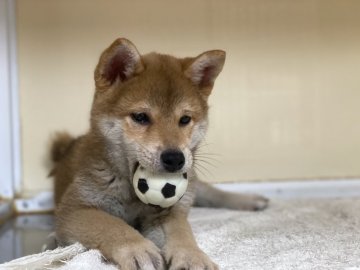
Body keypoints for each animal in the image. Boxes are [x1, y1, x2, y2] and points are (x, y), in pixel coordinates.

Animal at [52, 38, 268, 270]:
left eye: (184, 119)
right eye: (140, 117)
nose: (175, 159)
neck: (133, 197)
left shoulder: (169, 211)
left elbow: (181, 232)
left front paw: (192, 257)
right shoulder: (75, 209)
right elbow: (112, 225)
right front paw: (137, 249)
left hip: (191, 183)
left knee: (210, 193)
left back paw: (249, 199)